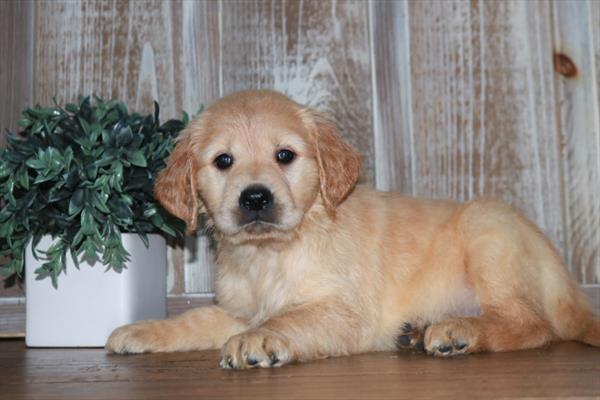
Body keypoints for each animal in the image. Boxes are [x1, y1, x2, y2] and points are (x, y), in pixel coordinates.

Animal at [108, 89, 600, 368]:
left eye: (285, 156)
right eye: (223, 161)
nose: (255, 198)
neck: (272, 253)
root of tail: (567, 283)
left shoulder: (343, 311)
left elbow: (291, 316)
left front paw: (259, 339)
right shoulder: (238, 308)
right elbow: (195, 318)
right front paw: (142, 330)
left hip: (489, 230)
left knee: (533, 324)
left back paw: (458, 331)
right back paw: (417, 332)